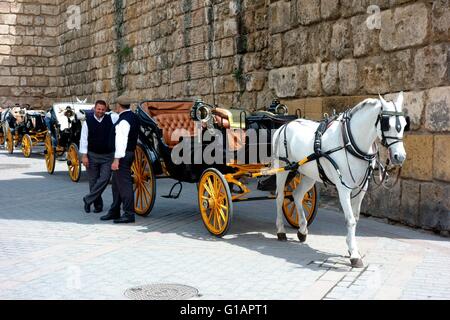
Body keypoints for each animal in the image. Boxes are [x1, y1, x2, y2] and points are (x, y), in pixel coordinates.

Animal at [272, 92, 410, 268]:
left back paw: (302, 230)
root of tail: (284, 126)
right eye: (387, 125)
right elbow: (350, 219)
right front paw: (355, 255)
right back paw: (281, 231)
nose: (400, 157)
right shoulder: (343, 188)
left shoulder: (361, 187)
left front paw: (351, 248)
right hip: (282, 168)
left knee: (297, 195)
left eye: (405, 124)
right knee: (280, 197)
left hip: (309, 174)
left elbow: (356, 218)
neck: (350, 142)